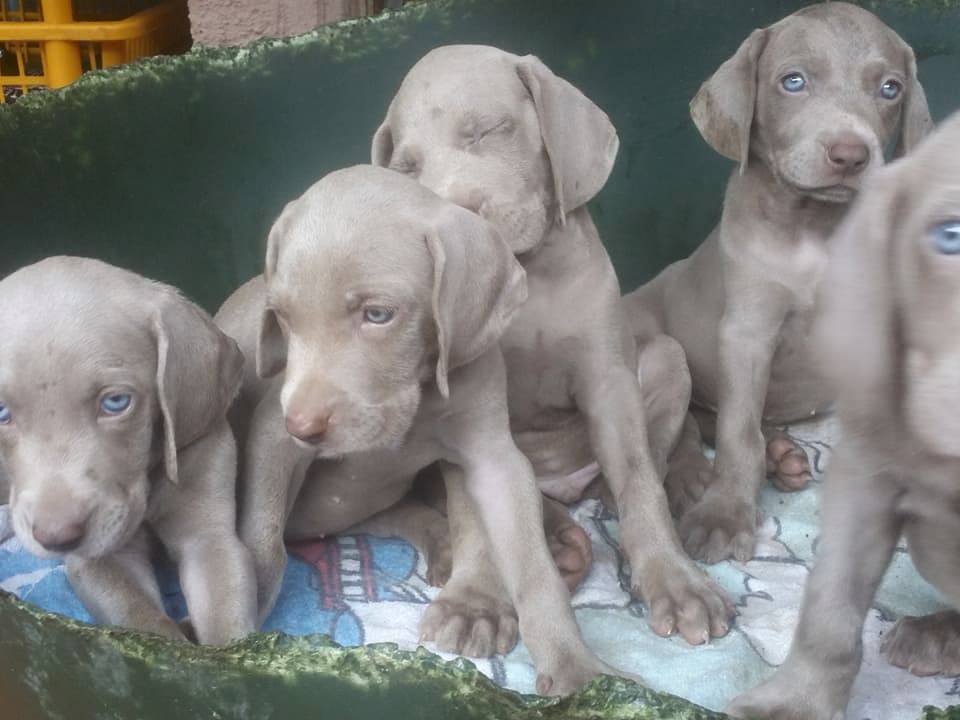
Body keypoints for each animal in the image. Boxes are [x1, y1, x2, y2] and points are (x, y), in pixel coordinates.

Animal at [0, 258, 256, 648]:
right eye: (1, 413)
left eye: (116, 402)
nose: (58, 538)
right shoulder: (101, 561)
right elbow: (142, 621)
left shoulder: (208, 535)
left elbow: (226, 627)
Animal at [624, 2, 928, 564]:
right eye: (794, 82)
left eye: (890, 88)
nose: (851, 154)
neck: (814, 229)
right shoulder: (747, 332)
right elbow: (738, 432)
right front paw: (724, 515)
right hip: (663, 348)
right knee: (688, 426)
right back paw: (694, 480)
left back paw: (781, 454)